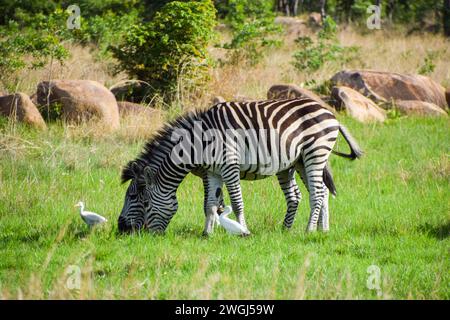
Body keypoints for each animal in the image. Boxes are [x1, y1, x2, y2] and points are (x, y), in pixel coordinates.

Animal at [118, 97, 362, 235]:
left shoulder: (229, 166)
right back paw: (314, 229)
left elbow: (236, 203)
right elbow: (210, 203)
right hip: (300, 160)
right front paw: (207, 233)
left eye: (140, 199)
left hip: (315, 152)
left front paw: (242, 230)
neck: (199, 143)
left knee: (318, 193)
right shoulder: (213, 171)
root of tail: (329, 112)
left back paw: (309, 230)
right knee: (319, 191)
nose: (122, 229)